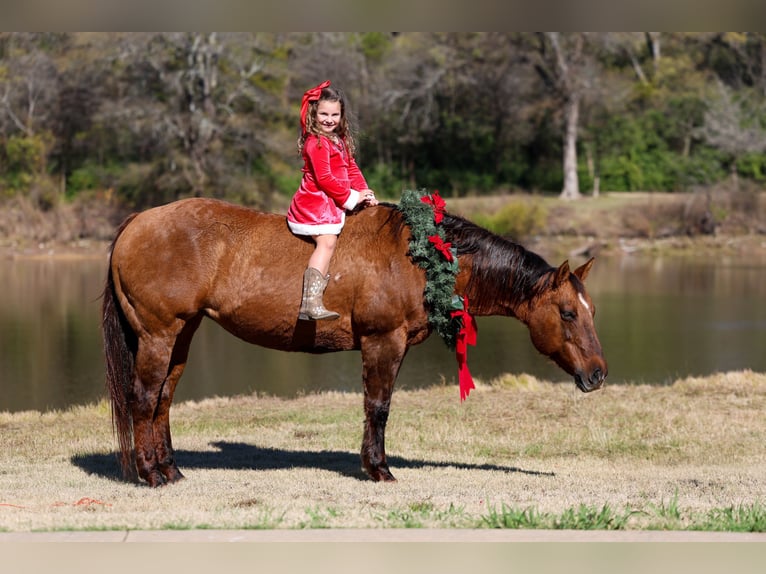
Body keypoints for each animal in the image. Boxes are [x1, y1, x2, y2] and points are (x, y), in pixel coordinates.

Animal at [102, 196, 607, 486]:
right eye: (567, 312)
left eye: (592, 311)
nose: (598, 374)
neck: (419, 257)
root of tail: (137, 222)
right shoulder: (384, 341)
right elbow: (378, 407)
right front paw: (378, 468)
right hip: (159, 335)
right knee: (143, 397)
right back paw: (151, 474)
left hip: (181, 335)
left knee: (163, 399)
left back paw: (170, 468)